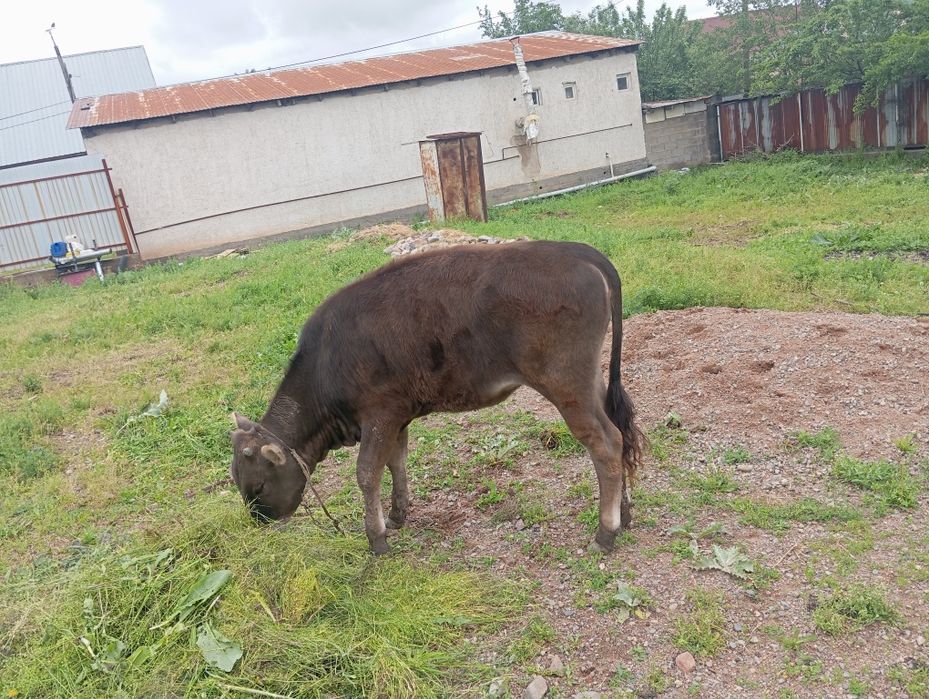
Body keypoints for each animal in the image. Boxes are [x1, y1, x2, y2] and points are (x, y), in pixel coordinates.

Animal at [229, 240, 643, 554]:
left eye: (258, 486)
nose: (261, 520)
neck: (329, 358)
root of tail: (575, 251)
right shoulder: (397, 419)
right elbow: (395, 463)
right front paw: (397, 515)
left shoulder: (378, 415)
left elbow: (367, 473)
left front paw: (377, 540)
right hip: (590, 384)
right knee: (618, 433)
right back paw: (624, 513)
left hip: (566, 386)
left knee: (605, 442)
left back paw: (605, 534)